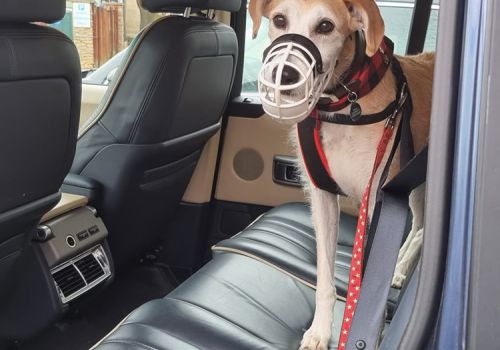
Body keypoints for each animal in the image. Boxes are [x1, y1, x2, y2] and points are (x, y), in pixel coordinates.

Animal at [249, 0, 434, 350]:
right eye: (279, 20)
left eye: (325, 26)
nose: (285, 74)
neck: (345, 104)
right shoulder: (322, 199)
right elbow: (324, 277)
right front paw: (320, 331)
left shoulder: (376, 202)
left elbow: (367, 276)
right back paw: (398, 269)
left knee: (420, 228)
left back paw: (401, 266)